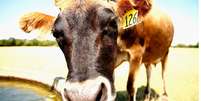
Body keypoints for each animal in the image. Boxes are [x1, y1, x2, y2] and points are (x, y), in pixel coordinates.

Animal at [18, 0, 173, 100]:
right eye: (55, 33)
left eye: (112, 22)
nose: (82, 97)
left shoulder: (136, 53)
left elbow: (130, 87)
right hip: (149, 57)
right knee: (149, 71)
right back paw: (147, 95)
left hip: (166, 51)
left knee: (164, 72)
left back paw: (165, 94)